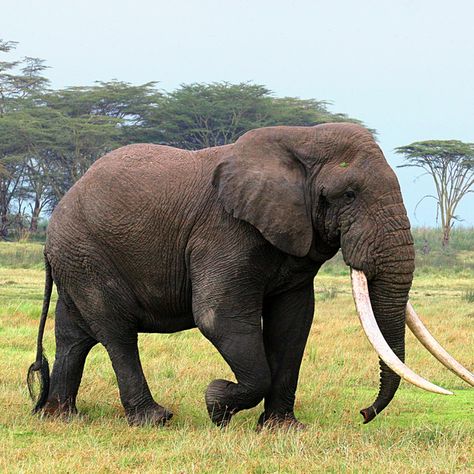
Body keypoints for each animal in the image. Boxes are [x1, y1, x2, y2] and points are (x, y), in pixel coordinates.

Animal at [26, 123, 474, 430]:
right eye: (348, 195)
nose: (363, 413)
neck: (302, 140)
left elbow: (293, 322)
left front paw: (282, 430)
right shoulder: (224, 230)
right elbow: (218, 316)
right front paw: (215, 404)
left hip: (77, 258)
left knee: (74, 335)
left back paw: (59, 417)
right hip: (87, 254)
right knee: (116, 332)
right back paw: (155, 419)